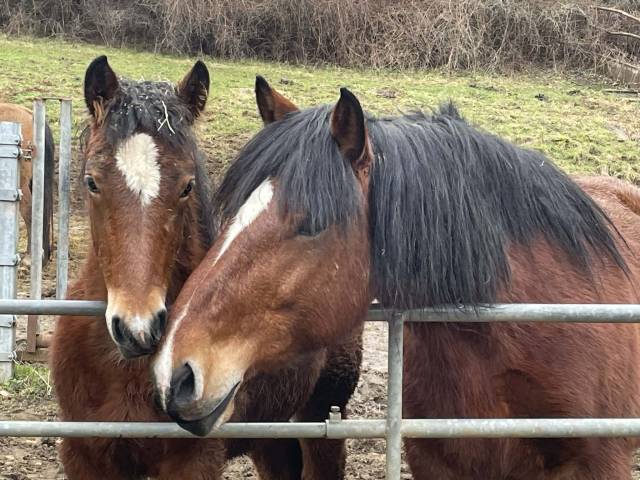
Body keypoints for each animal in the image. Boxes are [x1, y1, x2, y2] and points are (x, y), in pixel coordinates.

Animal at [50, 57, 361, 479]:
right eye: (91, 182)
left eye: (186, 186)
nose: (138, 328)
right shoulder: (85, 455)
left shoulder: (194, 460)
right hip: (270, 437)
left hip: (321, 421)